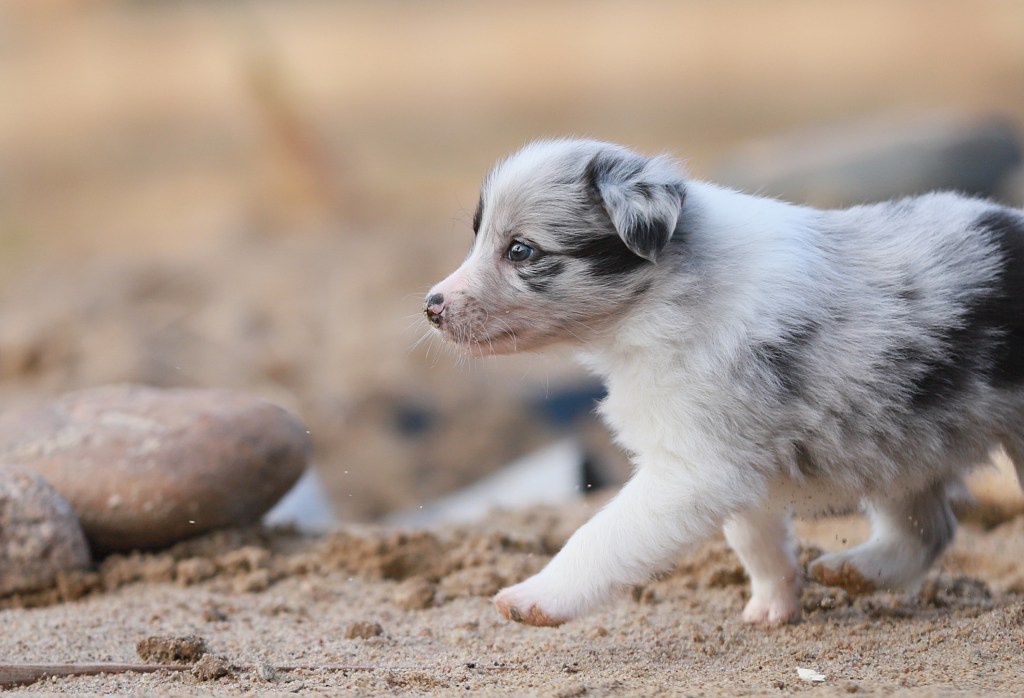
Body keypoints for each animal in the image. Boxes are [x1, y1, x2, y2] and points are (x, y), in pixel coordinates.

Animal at [423, 138, 1024, 626]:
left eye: (521, 250)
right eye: (478, 238)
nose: (431, 306)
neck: (666, 292)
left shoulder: (692, 471)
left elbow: (600, 536)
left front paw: (535, 597)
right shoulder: (733, 461)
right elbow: (755, 540)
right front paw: (774, 605)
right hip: (898, 443)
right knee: (927, 530)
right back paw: (854, 571)